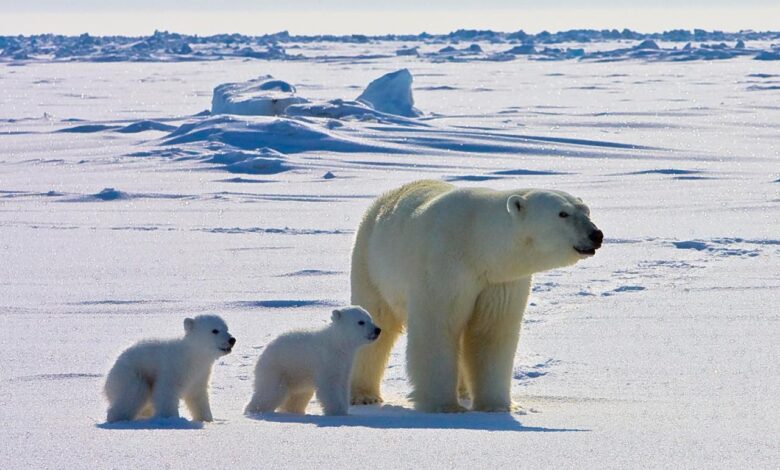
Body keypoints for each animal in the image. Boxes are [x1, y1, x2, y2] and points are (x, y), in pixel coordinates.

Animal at [348, 180, 604, 412]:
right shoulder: (444, 268)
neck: (476, 243)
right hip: (370, 264)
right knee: (377, 321)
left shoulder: (499, 281)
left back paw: (462, 390)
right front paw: (443, 406)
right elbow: (438, 328)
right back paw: (364, 395)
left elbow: (490, 332)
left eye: (586, 210)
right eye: (563, 213)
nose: (596, 234)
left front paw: (497, 406)